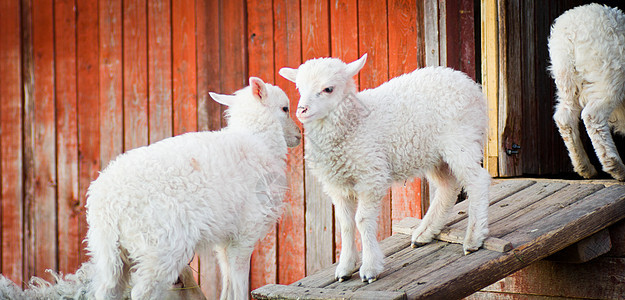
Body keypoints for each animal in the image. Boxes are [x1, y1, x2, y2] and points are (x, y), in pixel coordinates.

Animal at [86, 78, 302, 300]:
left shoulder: (226, 238)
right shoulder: (246, 231)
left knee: (107, 288)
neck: (259, 142)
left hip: (108, 252)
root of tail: (107, 204)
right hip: (159, 246)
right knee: (142, 291)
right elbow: (239, 281)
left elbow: (228, 281)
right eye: (285, 108)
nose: (298, 135)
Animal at [280, 53, 490, 282]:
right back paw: (425, 232)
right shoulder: (337, 184)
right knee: (448, 187)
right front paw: (345, 267)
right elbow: (345, 224)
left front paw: (369, 268)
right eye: (299, 88)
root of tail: (470, 84)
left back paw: (473, 238)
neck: (352, 125)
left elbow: (362, 220)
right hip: (433, 153)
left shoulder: (371, 176)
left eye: (328, 89)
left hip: (460, 140)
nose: (302, 110)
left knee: (477, 181)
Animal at [548, 3, 624, 180]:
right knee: (593, 116)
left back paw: (584, 166)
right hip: (610, 75)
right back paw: (616, 167)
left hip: (566, 77)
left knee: (564, 117)